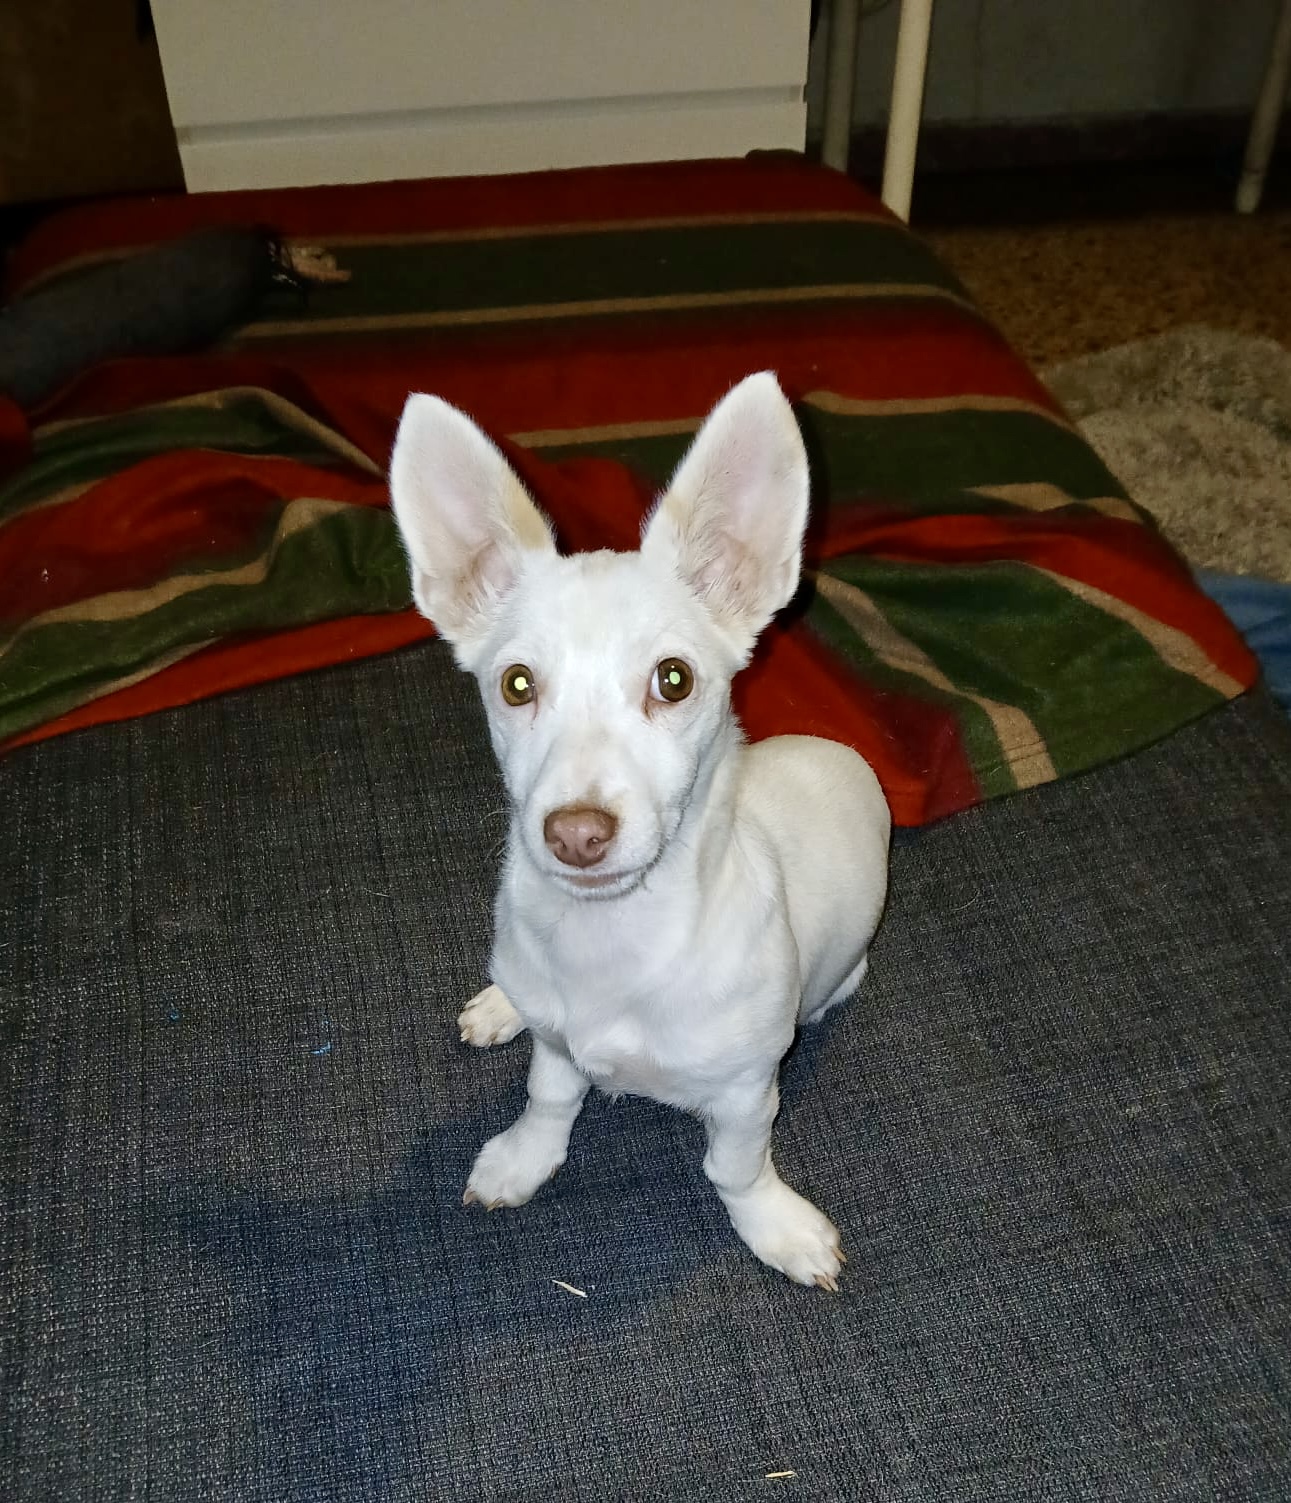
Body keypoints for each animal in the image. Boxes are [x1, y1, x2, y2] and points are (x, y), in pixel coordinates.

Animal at [389, 372, 890, 1289]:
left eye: (674, 679)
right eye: (516, 684)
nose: (575, 833)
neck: (609, 940)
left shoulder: (745, 1094)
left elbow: (733, 1166)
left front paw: (776, 1227)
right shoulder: (558, 1047)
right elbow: (549, 1097)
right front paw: (522, 1158)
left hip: (841, 977)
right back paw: (499, 1004)